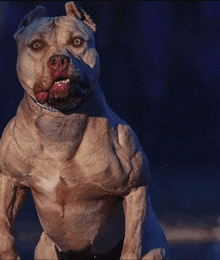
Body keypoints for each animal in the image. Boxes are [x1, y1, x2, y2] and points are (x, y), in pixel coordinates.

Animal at [0, 2, 169, 260]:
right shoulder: (9, 180)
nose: (59, 60)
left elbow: (132, 242)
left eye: (78, 41)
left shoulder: (134, 188)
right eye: (36, 45)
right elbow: (4, 230)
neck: (60, 122)